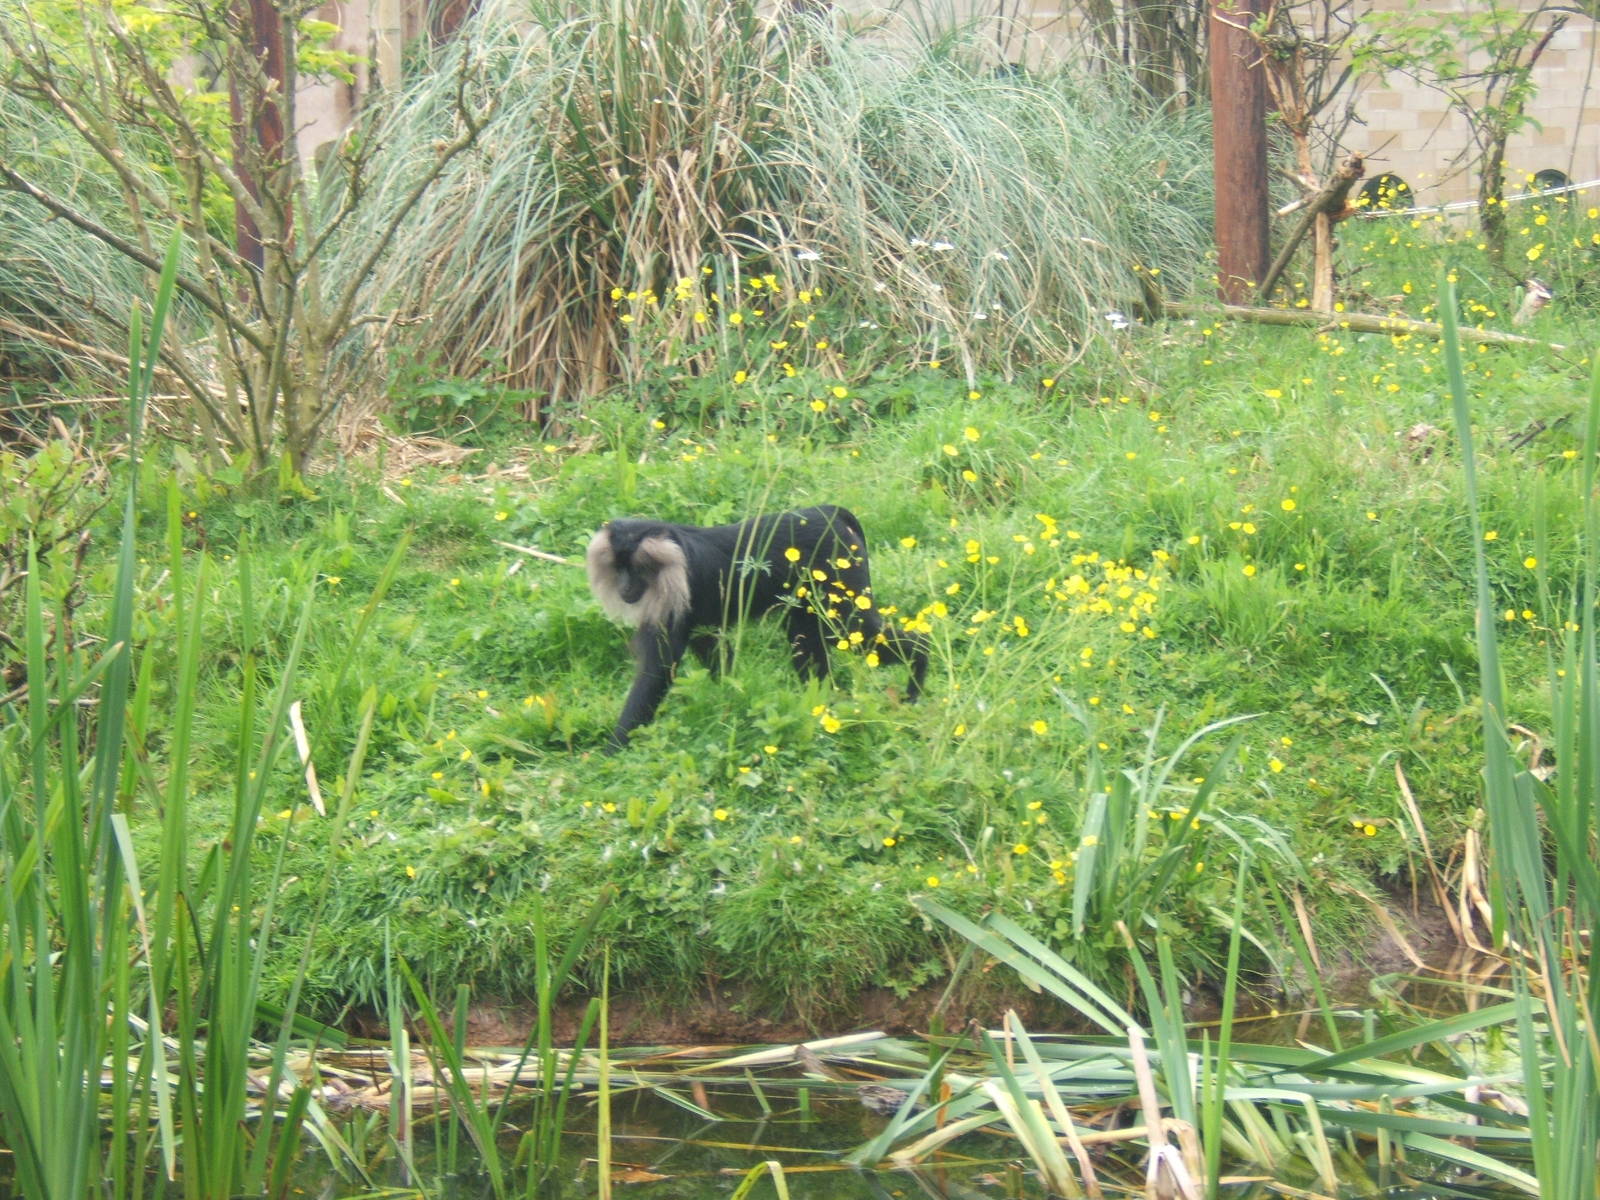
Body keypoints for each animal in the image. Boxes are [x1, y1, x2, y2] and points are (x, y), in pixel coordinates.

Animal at [586, 505, 930, 749]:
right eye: (620, 569)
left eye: (639, 570)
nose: (626, 587)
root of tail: (828, 513)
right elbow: (714, 652)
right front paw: (727, 695)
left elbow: (657, 671)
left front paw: (615, 749)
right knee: (808, 639)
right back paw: (821, 706)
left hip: (840, 580)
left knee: (853, 631)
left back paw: (918, 668)